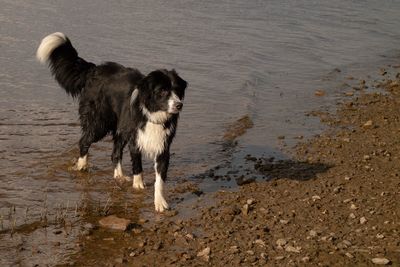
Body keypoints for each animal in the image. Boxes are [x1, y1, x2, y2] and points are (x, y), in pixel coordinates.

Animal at [36, 31, 187, 211]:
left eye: (177, 90)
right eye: (163, 91)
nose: (179, 105)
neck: (152, 113)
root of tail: (94, 70)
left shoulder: (163, 144)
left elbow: (160, 179)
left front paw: (160, 202)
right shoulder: (135, 139)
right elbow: (138, 165)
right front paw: (138, 186)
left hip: (120, 127)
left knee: (115, 152)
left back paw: (119, 176)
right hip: (99, 122)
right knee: (84, 141)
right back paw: (82, 166)